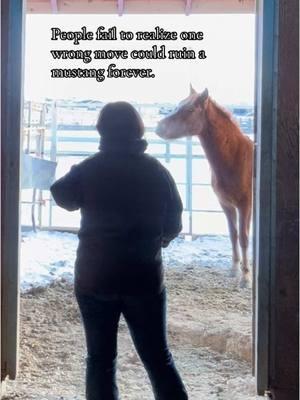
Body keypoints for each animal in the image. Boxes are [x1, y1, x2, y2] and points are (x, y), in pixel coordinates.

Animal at [157, 87, 253, 288]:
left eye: (190, 109)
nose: (158, 127)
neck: (237, 157)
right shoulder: (226, 204)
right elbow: (233, 234)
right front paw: (234, 270)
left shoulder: (245, 205)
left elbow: (244, 237)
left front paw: (246, 278)